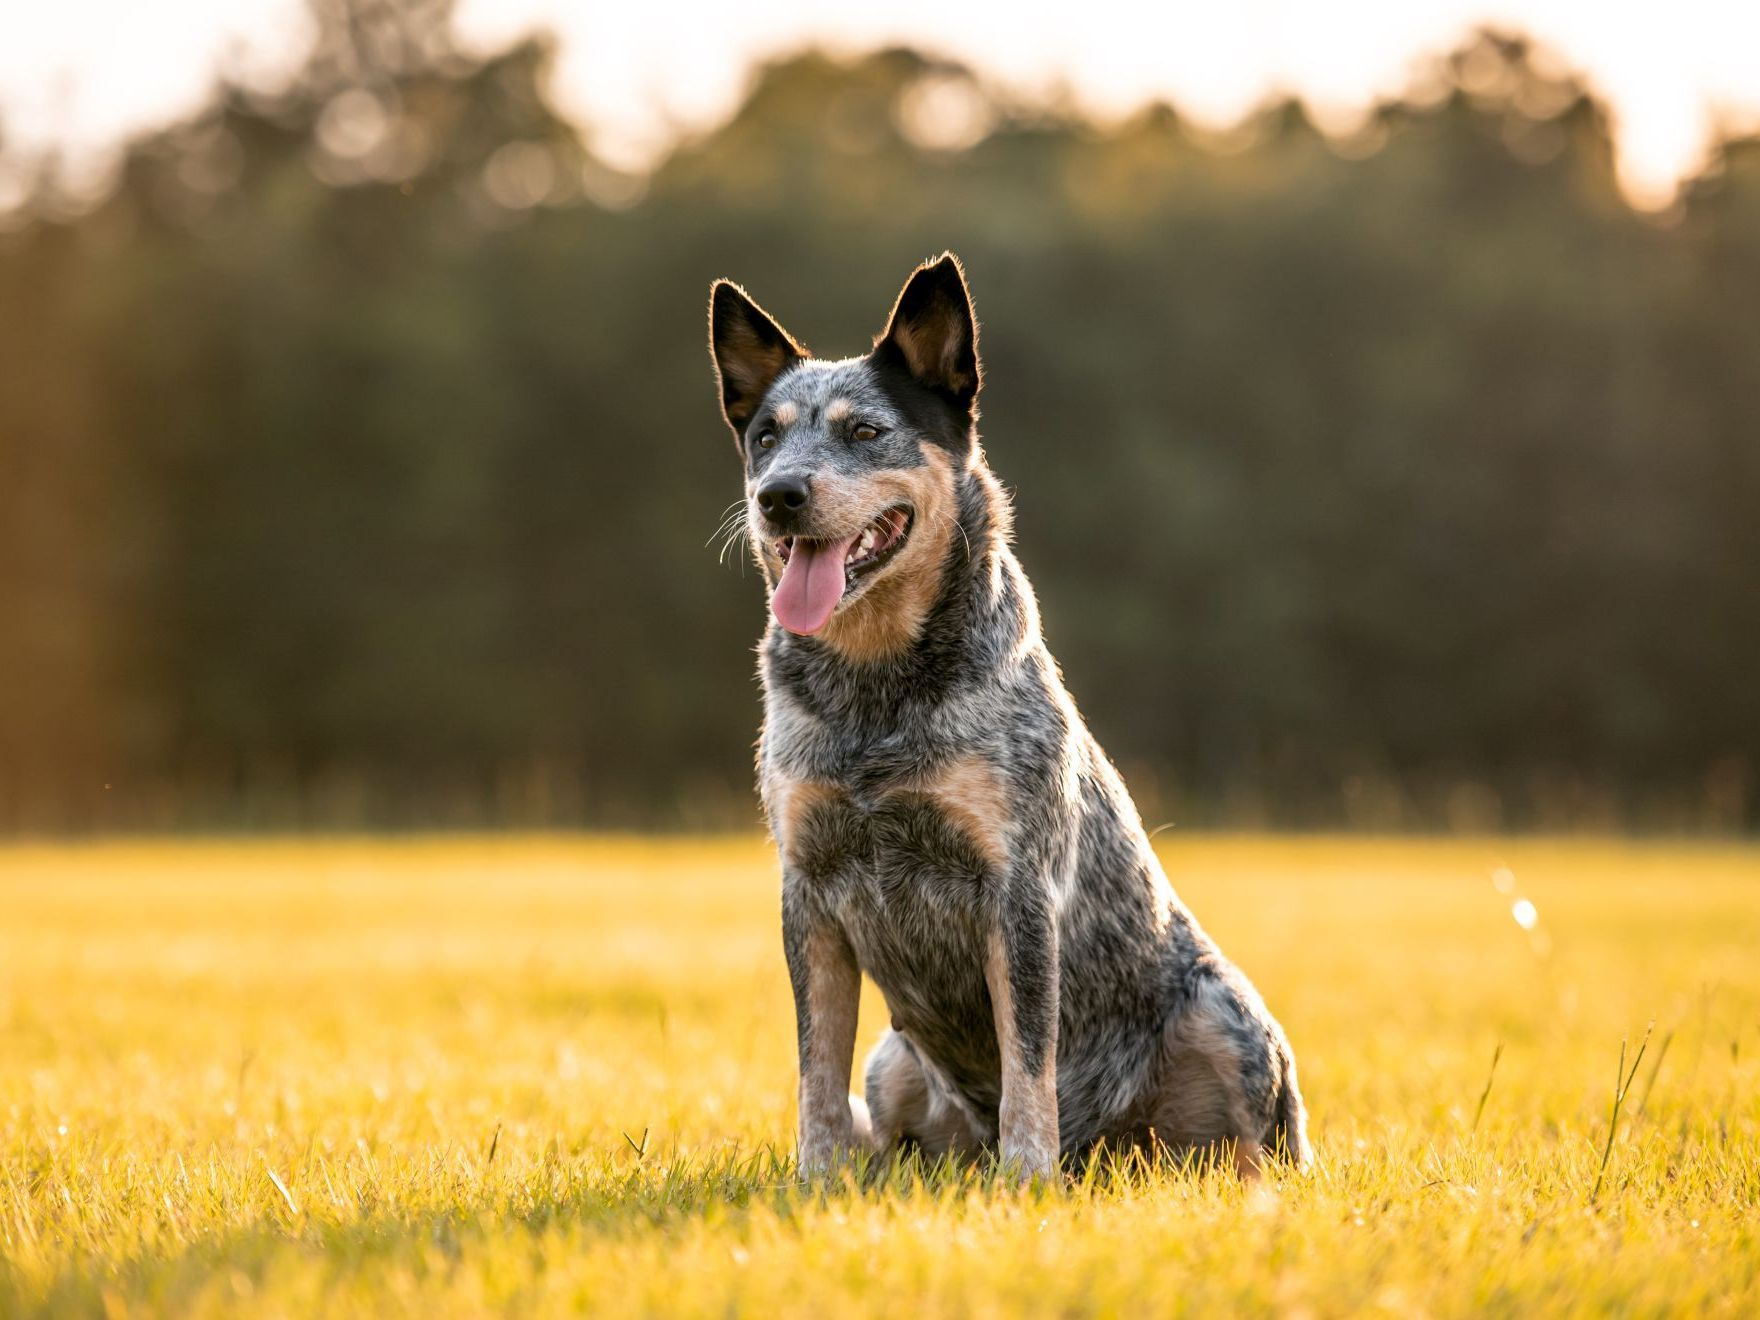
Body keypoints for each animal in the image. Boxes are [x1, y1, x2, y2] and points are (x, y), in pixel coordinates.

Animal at [704, 255, 1309, 1175]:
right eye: (766, 436)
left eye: (866, 432)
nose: (778, 496)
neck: (876, 697)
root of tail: (1105, 1152)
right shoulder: (807, 893)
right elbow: (816, 1066)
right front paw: (817, 1179)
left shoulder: (1017, 887)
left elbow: (1028, 1058)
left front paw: (1027, 1178)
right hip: (895, 1061)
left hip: (1225, 1017)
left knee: (1247, 1144)